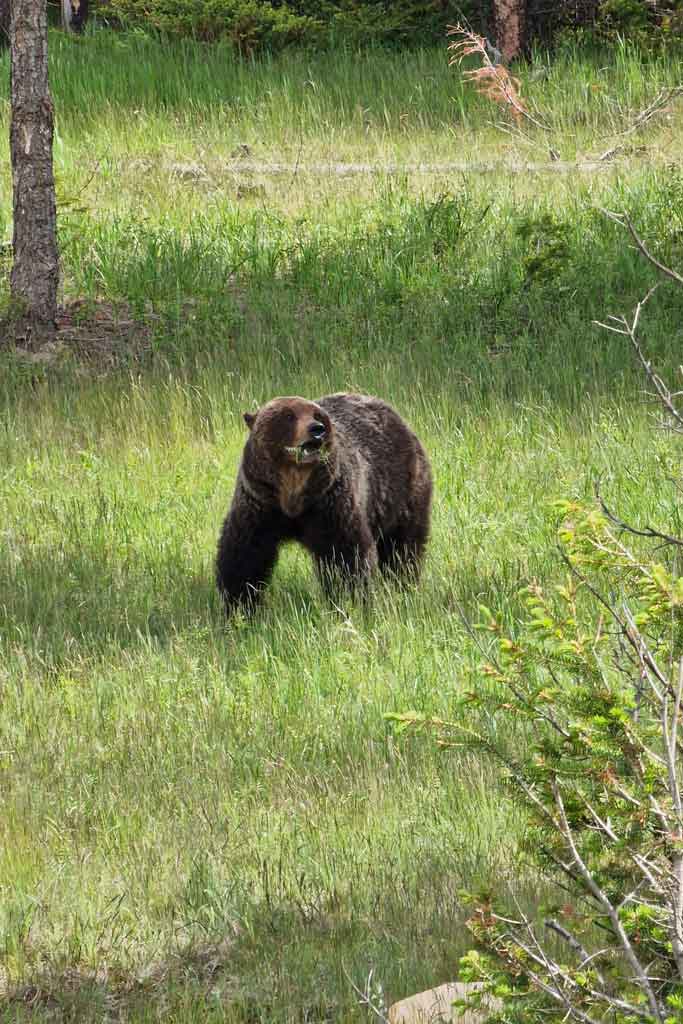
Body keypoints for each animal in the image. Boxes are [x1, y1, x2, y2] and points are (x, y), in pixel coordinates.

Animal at [216, 391, 432, 606]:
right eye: (288, 416)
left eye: (317, 415)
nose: (316, 429)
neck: (292, 492)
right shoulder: (260, 502)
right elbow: (245, 554)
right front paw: (239, 601)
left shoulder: (329, 502)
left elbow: (345, 554)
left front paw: (350, 598)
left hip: (401, 491)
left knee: (402, 546)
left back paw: (404, 583)